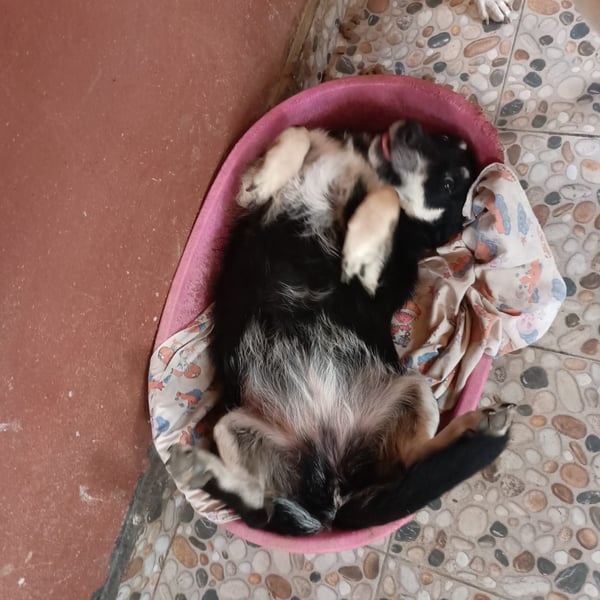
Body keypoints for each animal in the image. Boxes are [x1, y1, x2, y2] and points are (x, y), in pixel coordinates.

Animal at [168, 120, 514, 535]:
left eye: (448, 184)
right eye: (443, 138)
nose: (409, 129)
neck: (366, 168)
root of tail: (334, 489)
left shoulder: (383, 277)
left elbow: (388, 198)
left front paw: (362, 241)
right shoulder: (257, 202)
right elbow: (298, 133)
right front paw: (264, 178)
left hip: (414, 391)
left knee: (408, 460)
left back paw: (474, 428)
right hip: (233, 429)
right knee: (261, 504)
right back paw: (205, 472)